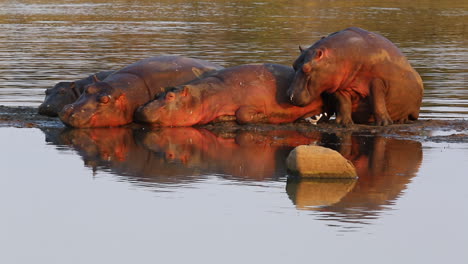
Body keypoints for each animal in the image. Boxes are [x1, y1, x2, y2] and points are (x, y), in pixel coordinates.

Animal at [134, 63, 326, 126]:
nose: (141, 109)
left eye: (170, 97)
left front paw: (264, 117)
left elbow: (244, 114)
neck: (204, 96)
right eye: (157, 94)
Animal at [286, 26, 424, 126]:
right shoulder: (338, 85)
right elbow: (343, 103)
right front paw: (343, 123)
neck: (337, 56)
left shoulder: (377, 81)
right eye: (294, 64)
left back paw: (402, 120)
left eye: (306, 68)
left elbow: (377, 101)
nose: (289, 95)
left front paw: (384, 124)